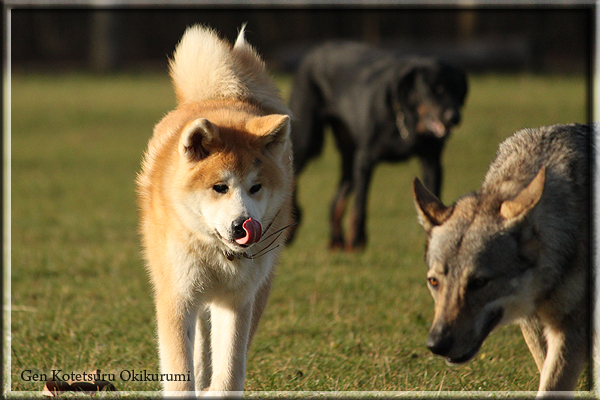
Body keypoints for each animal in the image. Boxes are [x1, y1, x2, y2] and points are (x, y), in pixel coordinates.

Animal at [290, 41, 468, 250]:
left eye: (457, 90)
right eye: (434, 89)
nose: (454, 117)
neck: (406, 122)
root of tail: (318, 48)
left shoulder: (432, 161)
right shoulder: (365, 160)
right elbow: (360, 206)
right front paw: (357, 242)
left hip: (349, 157)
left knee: (335, 201)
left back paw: (336, 241)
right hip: (306, 141)